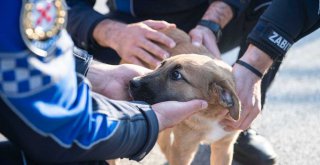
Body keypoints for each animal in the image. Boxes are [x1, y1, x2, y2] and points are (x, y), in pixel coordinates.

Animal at [127, 27, 240, 165]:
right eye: (161, 64)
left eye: (176, 74)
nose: (132, 82)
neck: (209, 116)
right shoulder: (182, 149)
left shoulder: (224, 146)